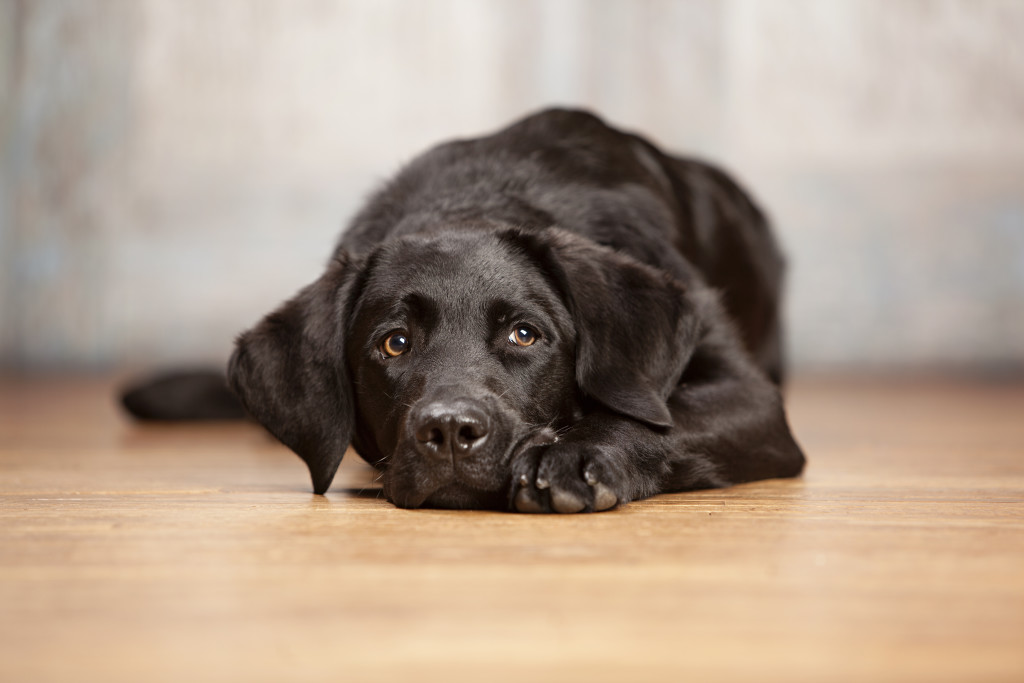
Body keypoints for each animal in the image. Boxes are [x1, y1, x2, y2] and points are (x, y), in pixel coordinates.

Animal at [128, 108, 802, 511]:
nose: (450, 430)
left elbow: (658, 419)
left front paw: (574, 455)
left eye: (525, 335)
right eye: (394, 342)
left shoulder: (752, 396)